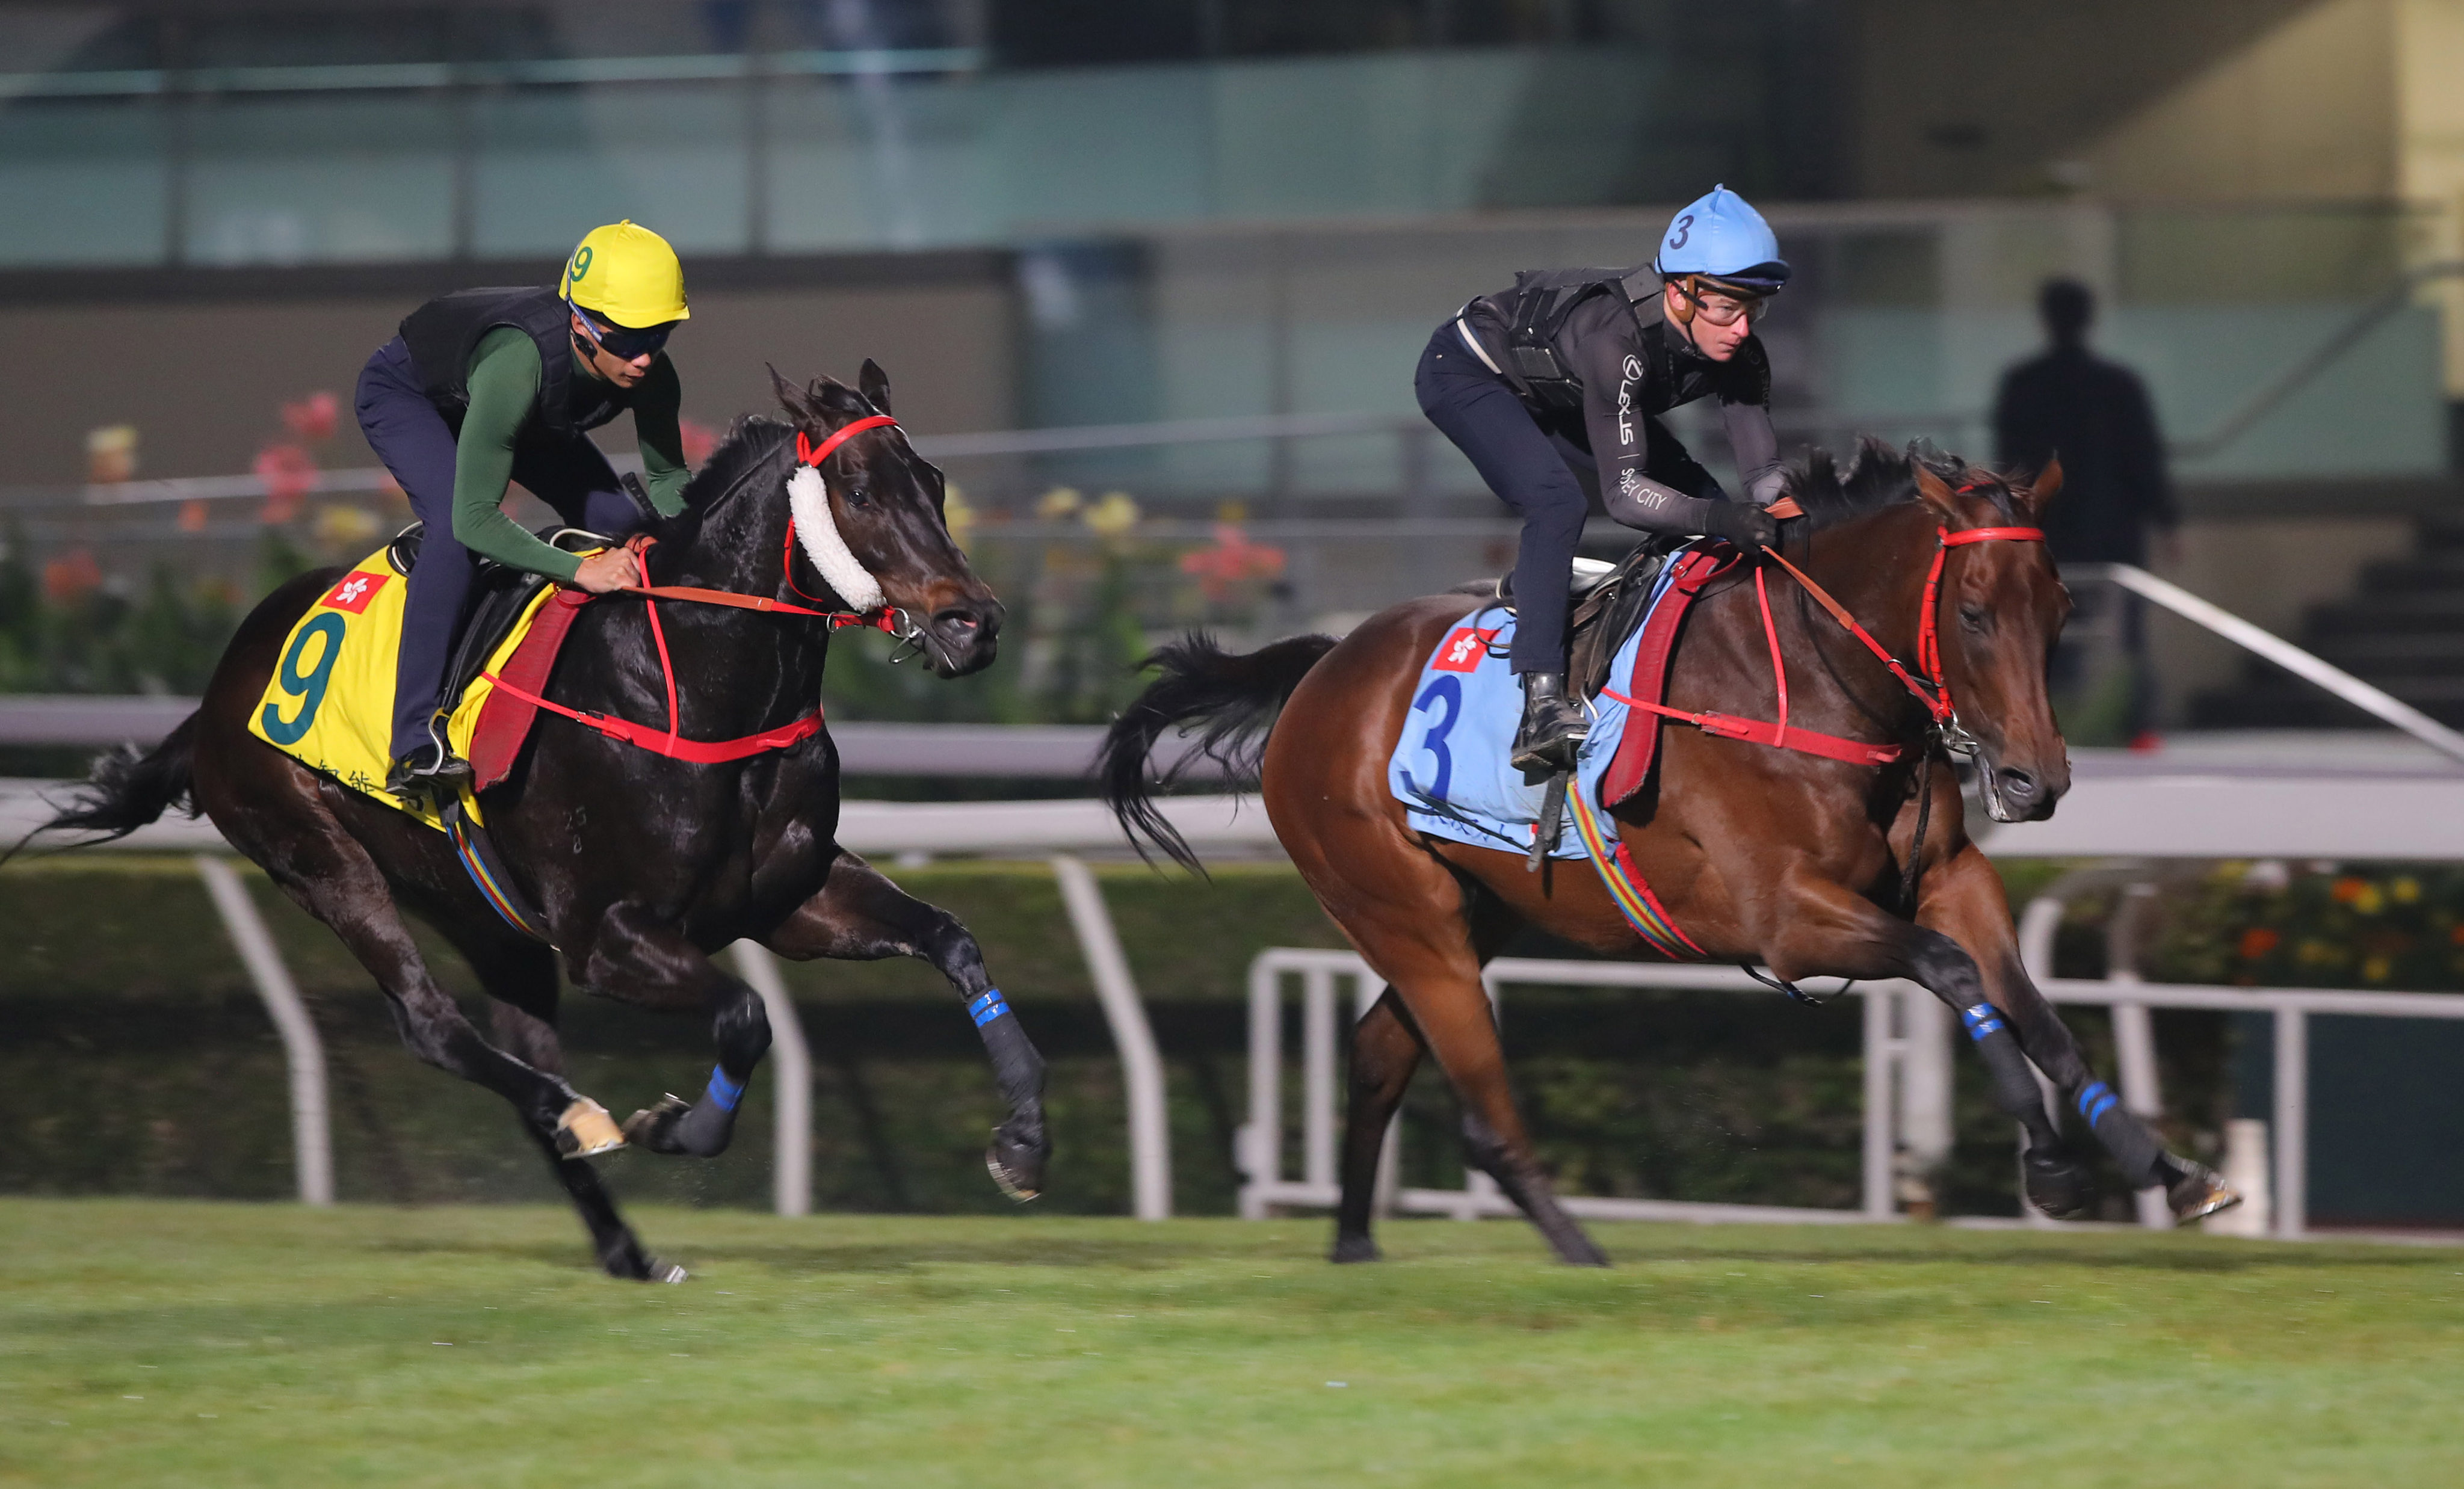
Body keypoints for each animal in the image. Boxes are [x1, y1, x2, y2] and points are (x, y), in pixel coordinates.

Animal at [36, 362, 1049, 1281]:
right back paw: (579, 1114)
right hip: (321, 859)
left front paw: (1024, 1138)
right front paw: (671, 1124)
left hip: (485, 916)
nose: (973, 622)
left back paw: (623, 1244)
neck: (699, 682)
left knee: (514, 1051)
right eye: (860, 490)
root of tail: (216, 692)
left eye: (934, 483)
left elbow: (951, 939)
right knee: (431, 1025)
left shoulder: (789, 899)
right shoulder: (607, 936)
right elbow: (745, 1013)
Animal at [1108, 443, 2247, 1272]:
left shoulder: (1949, 879)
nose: (2032, 781)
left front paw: (2163, 1165)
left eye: (2060, 610)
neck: (1817, 687)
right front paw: (2049, 1161)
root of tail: (1321, 666)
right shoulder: (1784, 919)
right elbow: (1954, 972)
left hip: (1478, 909)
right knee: (1471, 1091)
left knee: (1381, 1048)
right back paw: (1575, 1243)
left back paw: (1352, 1240)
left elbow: (2035, 1008)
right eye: (1971, 612)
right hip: (1403, 911)